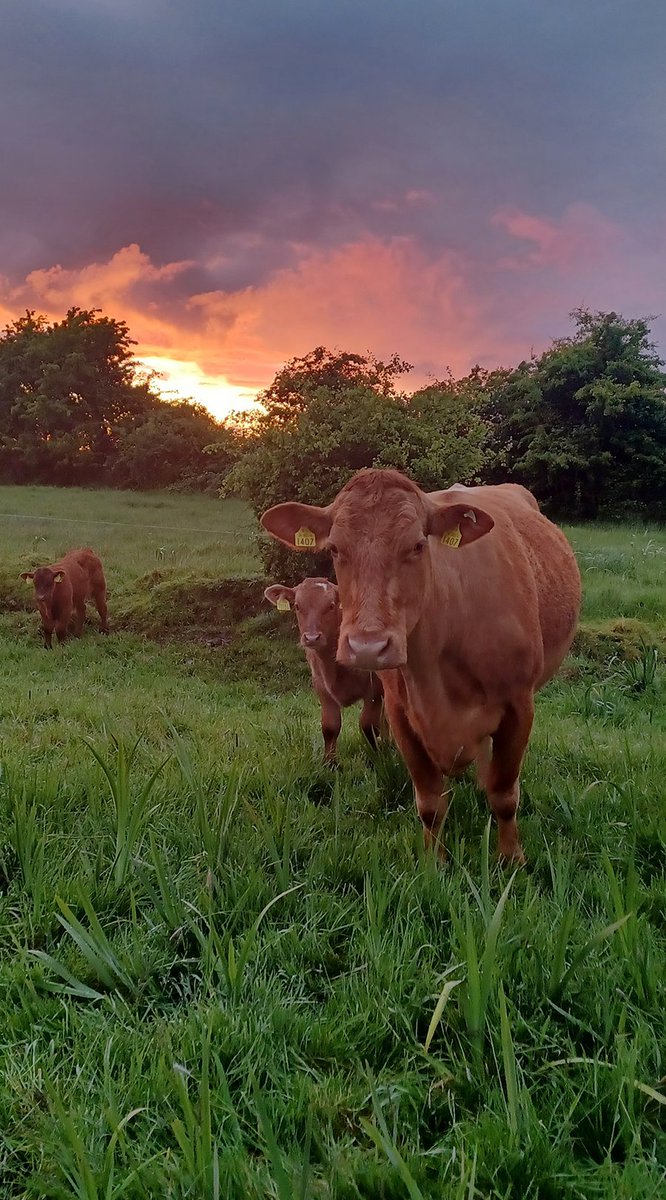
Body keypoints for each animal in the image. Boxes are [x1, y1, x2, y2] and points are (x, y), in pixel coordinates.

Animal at [264, 576, 384, 763]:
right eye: (297, 606)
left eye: (331, 605)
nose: (312, 637)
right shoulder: (321, 685)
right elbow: (330, 727)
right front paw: (330, 763)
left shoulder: (375, 688)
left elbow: (368, 725)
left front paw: (376, 759)